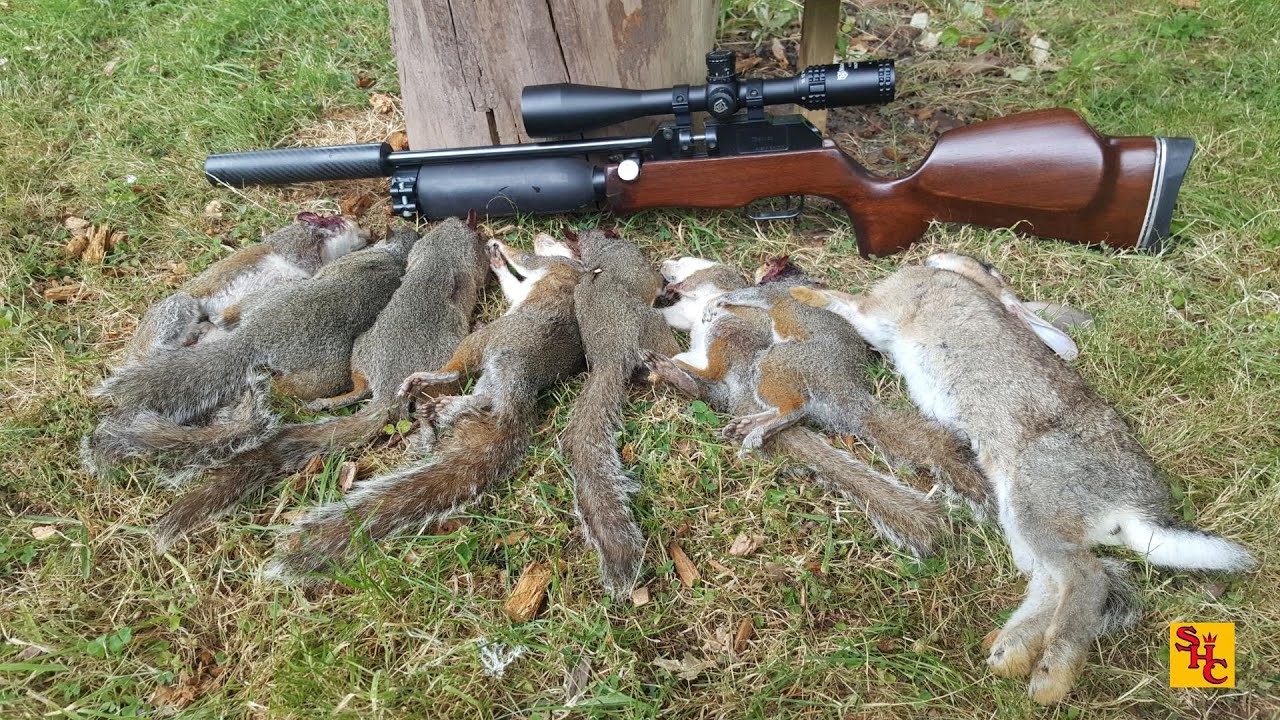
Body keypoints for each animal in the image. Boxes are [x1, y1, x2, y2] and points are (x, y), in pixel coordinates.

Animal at [265, 233, 586, 580]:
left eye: (555, 242)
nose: (541, 237)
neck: (573, 269)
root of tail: (521, 378)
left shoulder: (546, 266)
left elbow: (522, 263)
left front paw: (500, 251)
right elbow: (513, 285)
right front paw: (497, 257)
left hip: (488, 340)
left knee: (456, 371)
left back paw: (423, 387)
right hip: (489, 376)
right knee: (480, 399)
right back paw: (438, 413)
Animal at [560, 229, 680, 598]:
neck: (599, 253)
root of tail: (610, 359)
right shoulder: (637, 265)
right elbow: (651, 278)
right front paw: (666, 284)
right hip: (651, 325)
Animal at [643, 257, 950, 557]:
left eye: (681, 260)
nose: (664, 266)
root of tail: (843, 389)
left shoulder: (739, 283)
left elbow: (715, 286)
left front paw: (689, 291)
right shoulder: (686, 314)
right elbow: (676, 317)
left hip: (754, 347)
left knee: (779, 401)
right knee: (708, 389)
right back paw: (684, 379)